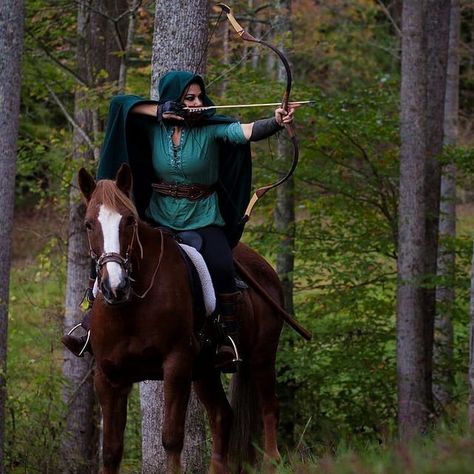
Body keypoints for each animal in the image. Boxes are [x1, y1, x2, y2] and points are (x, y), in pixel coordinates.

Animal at [79, 165, 284, 472]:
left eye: (129, 220)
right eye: (89, 224)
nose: (115, 286)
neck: (132, 309)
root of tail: (266, 270)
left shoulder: (176, 366)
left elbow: (172, 439)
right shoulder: (109, 377)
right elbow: (111, 451)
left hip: (262, 357)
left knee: (269, 409)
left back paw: (274, 462)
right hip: (205, 371)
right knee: (223, 415)